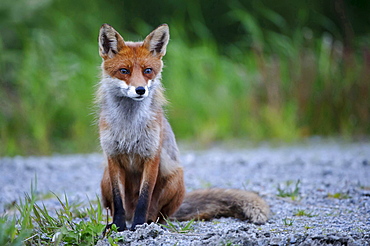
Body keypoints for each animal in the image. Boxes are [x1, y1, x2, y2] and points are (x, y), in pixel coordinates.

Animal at [96, 23, 268, 231]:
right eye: (124, 71)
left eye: (147, 70)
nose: (140, 90)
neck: (129, 127)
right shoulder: (112, 156)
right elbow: (118, 200)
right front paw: (118, 227)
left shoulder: (152, 155)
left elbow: (145, 199)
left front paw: (139, 226)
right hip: (104, 178)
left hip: (175, 178)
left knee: (158, 214)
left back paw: (150, 224)